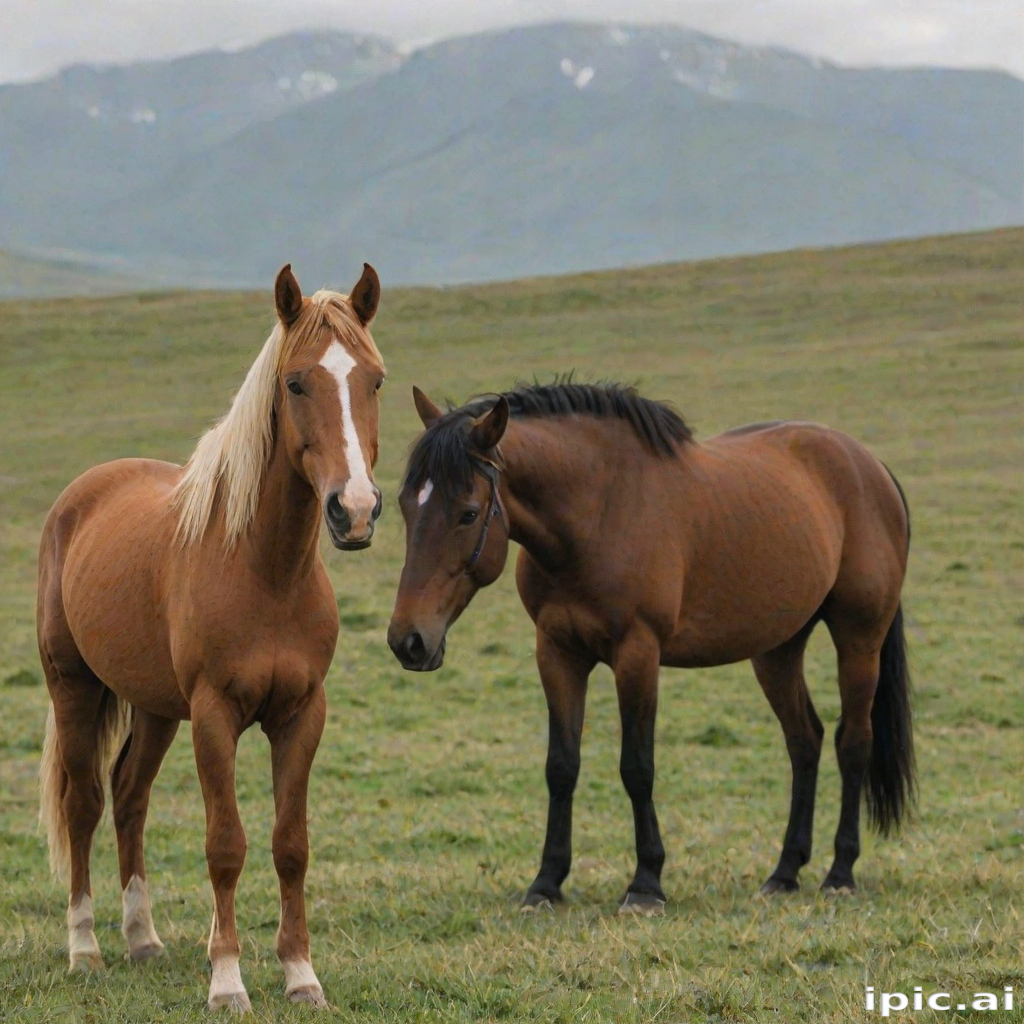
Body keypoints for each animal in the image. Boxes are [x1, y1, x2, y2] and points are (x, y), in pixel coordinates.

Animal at [37, 263, 386, 1010]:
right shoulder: (214, 715)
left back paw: (143, 939)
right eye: (296, 383)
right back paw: (86, 949)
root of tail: (82, 494)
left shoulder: (302, 713)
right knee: (84, 803)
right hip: (74, 687)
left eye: (374, 379)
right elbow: (226, 844)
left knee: (129, 797)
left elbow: (291, 844)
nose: (354, 509)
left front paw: (300, 974)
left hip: (154, 707)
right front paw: (227, 981)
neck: (265, 571)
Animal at [387, 380, 913, 912]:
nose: (408, 641)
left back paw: (840, 872)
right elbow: (561, 766)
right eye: (406, 505)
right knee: (804, 740)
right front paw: (547, 881)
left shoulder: (637, 655)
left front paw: (645, 884)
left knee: (854, 742)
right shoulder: (557, 654)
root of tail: (869, 464)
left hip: (859, 639)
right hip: (778, 650)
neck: (599, 514)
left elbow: (637, 766)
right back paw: (785, 872)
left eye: (468, 513)